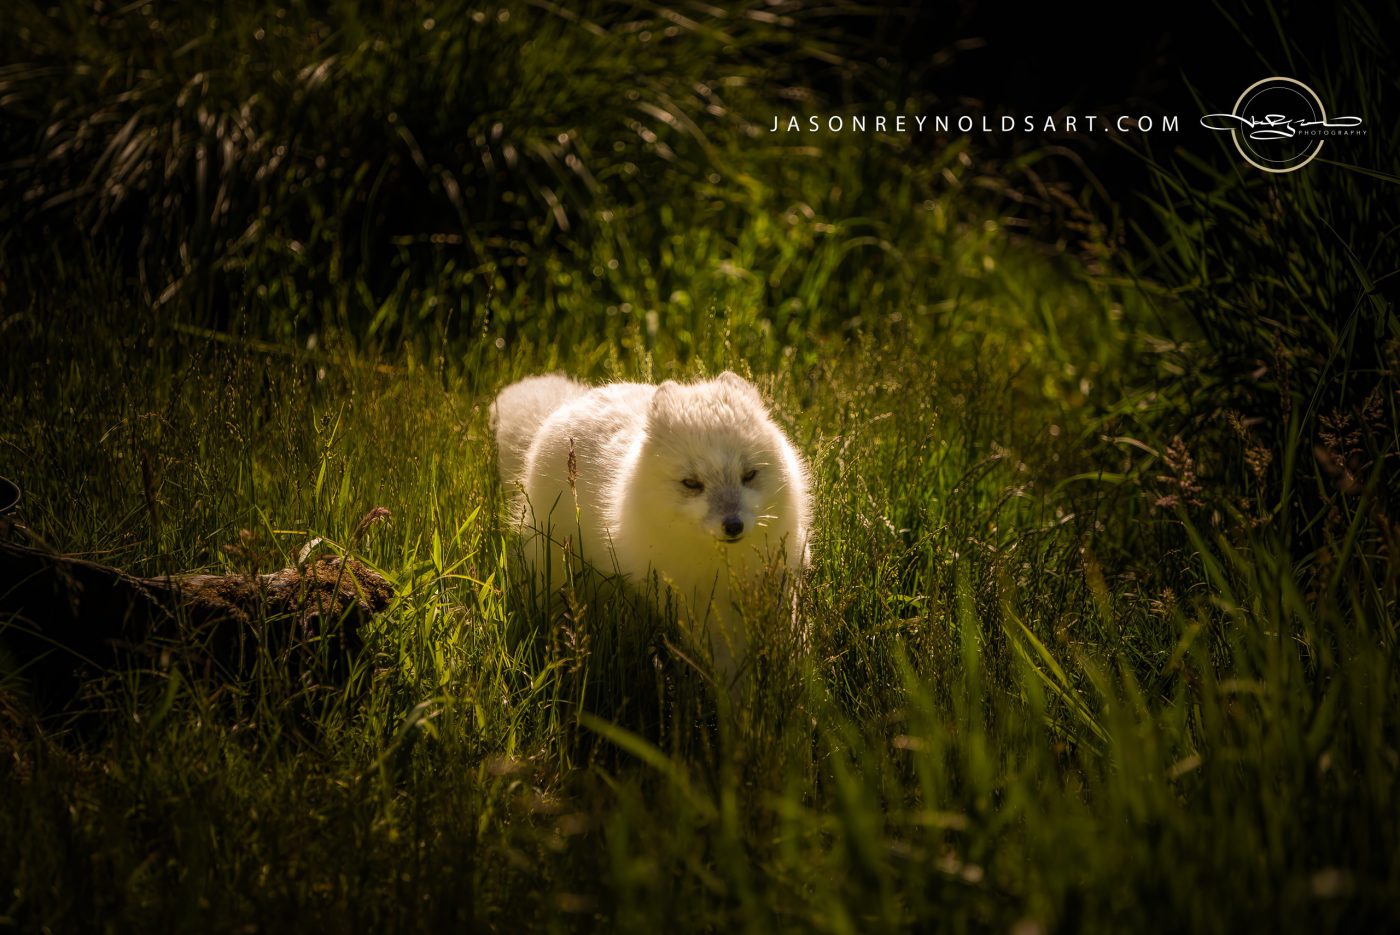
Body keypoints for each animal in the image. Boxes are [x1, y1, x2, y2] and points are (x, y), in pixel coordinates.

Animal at [491, 371, 811, 685]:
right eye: (691, 483)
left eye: (749, 475)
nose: (733, 526)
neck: (728, 564)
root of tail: (571, 404)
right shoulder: (701, 608)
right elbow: (730, 667)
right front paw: (740, 698)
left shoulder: (783, 579)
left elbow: (792, 640)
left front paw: (794, 682)